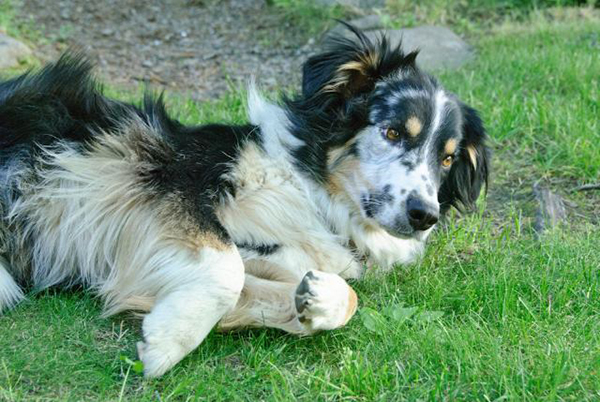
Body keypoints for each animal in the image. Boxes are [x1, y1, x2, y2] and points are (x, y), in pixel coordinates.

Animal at [0, 26, 488, 378]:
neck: (308, 191)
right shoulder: (174, 182)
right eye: (392, 131)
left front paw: (318, 300)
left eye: (446, 159)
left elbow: (329, 297)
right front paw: (168, 342)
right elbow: (226, 271)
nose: (424, 216)